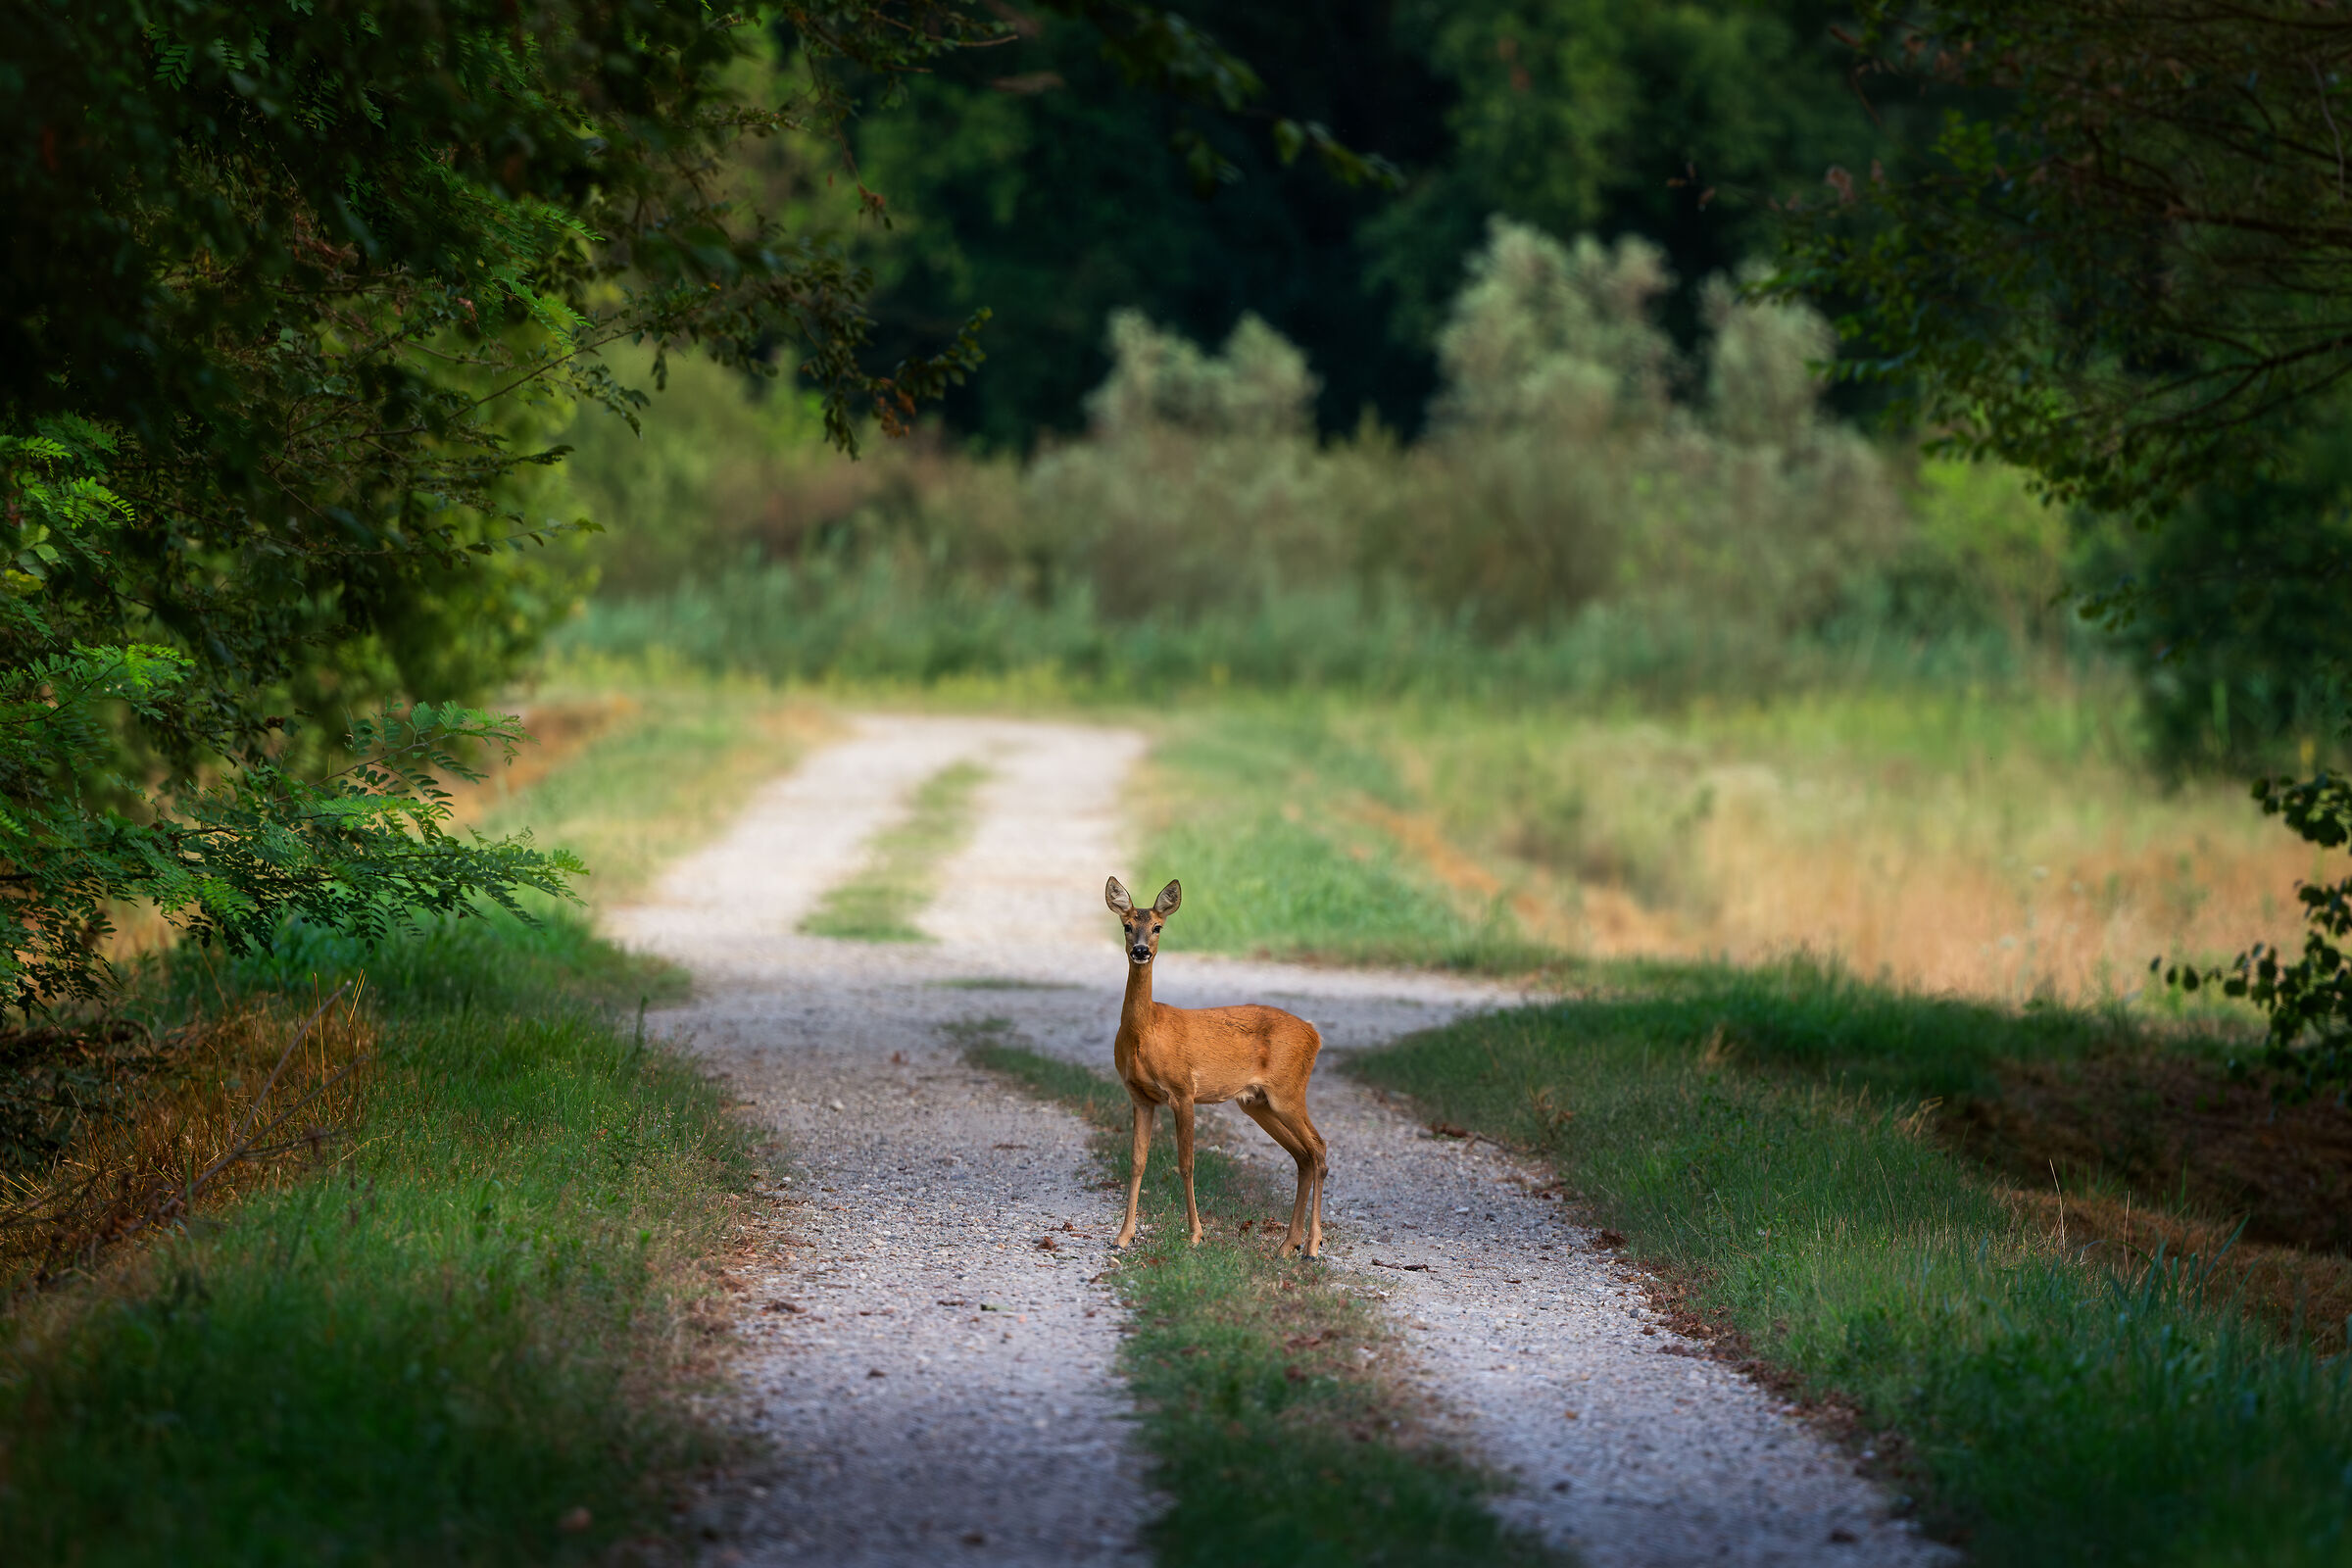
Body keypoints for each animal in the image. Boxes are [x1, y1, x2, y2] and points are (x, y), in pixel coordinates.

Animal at [1103, 876, 1329, 1258]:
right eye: (1127, 926)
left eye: (1158, 926)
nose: (1141, 951)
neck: (1146, 1031)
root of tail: (1315, 1034)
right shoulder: (1140, 1096)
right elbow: (1137, 1162)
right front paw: (1123, 1236)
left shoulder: (1183, 1090)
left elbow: (1186, 1163)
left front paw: (1196, 1234)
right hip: (1257, 1102)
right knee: (1303, 1155)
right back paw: (1288, 1244)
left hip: (1288, 1091)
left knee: (1319, 1148)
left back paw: (1312, 1245)